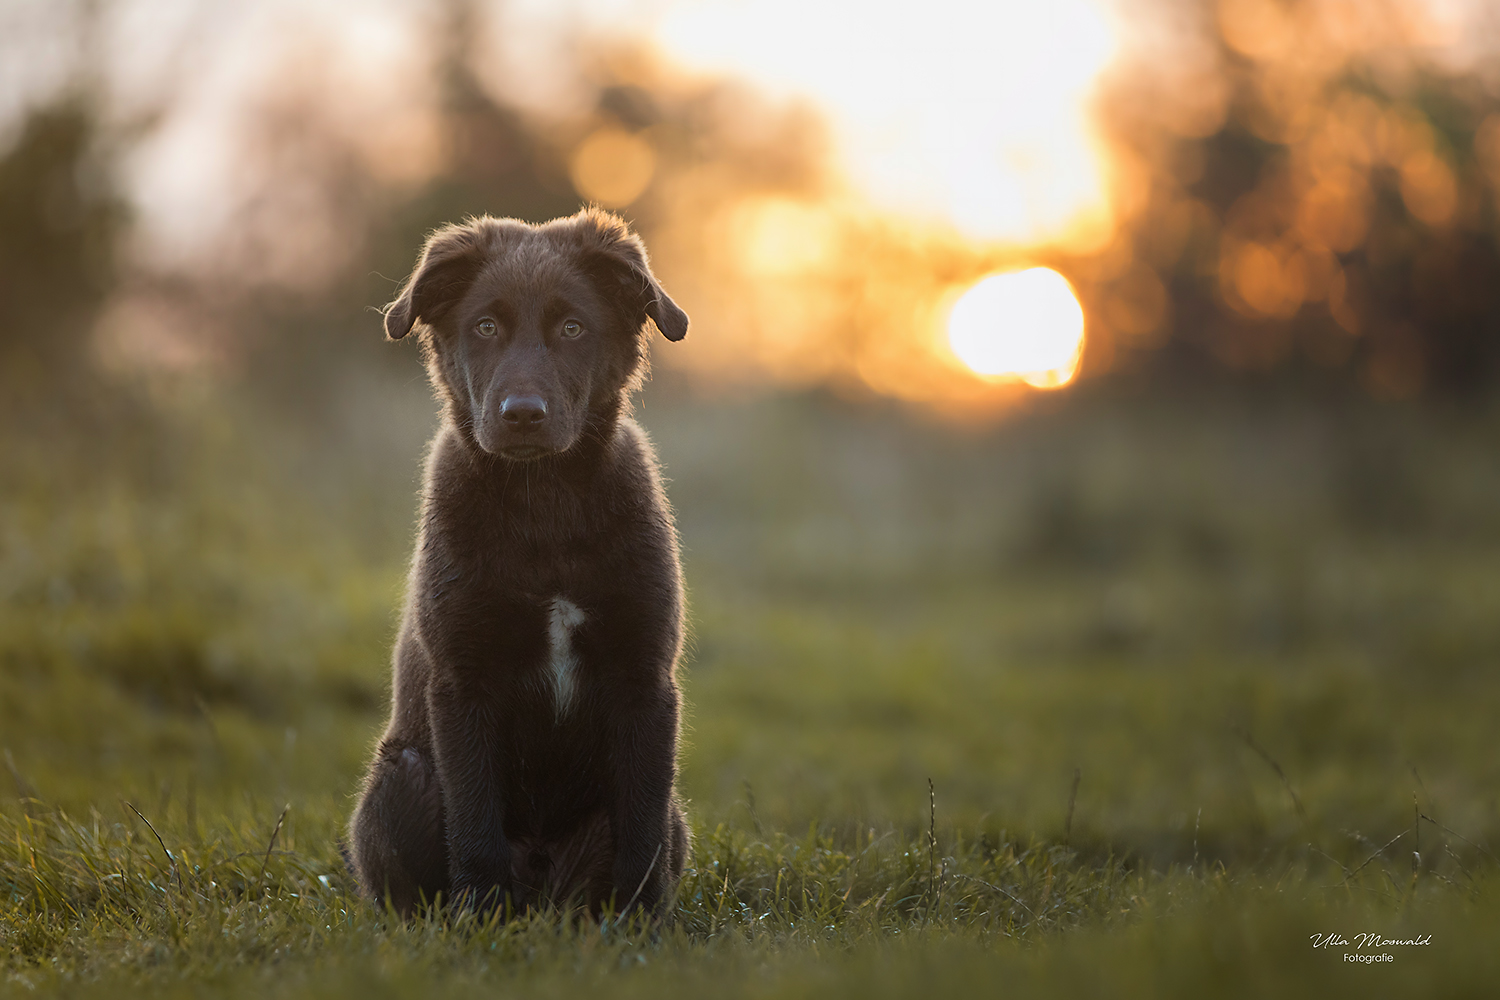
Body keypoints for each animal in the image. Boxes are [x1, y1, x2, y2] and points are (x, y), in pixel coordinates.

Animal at [348, 206, 687, 917]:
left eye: (572, 328)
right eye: (485, 327)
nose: (522, 416)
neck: (545, 510)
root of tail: (543, 893)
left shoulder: (645, 680)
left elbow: (640, 826)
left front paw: (641, 924)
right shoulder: (463, 681)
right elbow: (475, 817)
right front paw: (480, 920)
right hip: (400, 776)